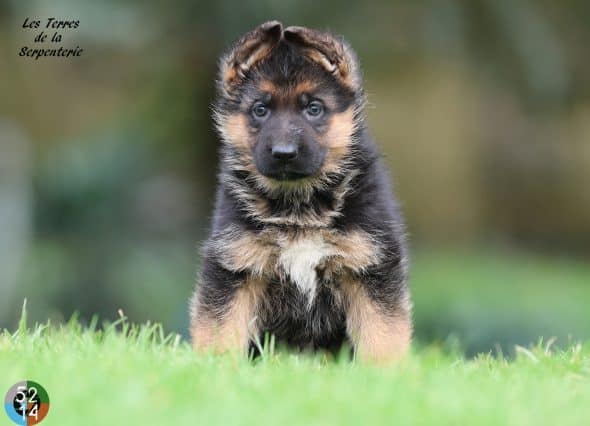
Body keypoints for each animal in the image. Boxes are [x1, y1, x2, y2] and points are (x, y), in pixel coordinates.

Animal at [190, 21, 412, 362]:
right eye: (260, 109)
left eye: (314, 108)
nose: (284, 153)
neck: (297, 203)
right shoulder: (235, 267)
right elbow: (220, 328)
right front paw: (215, 367)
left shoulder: (370, 267)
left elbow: (383, 332)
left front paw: (385, 372)